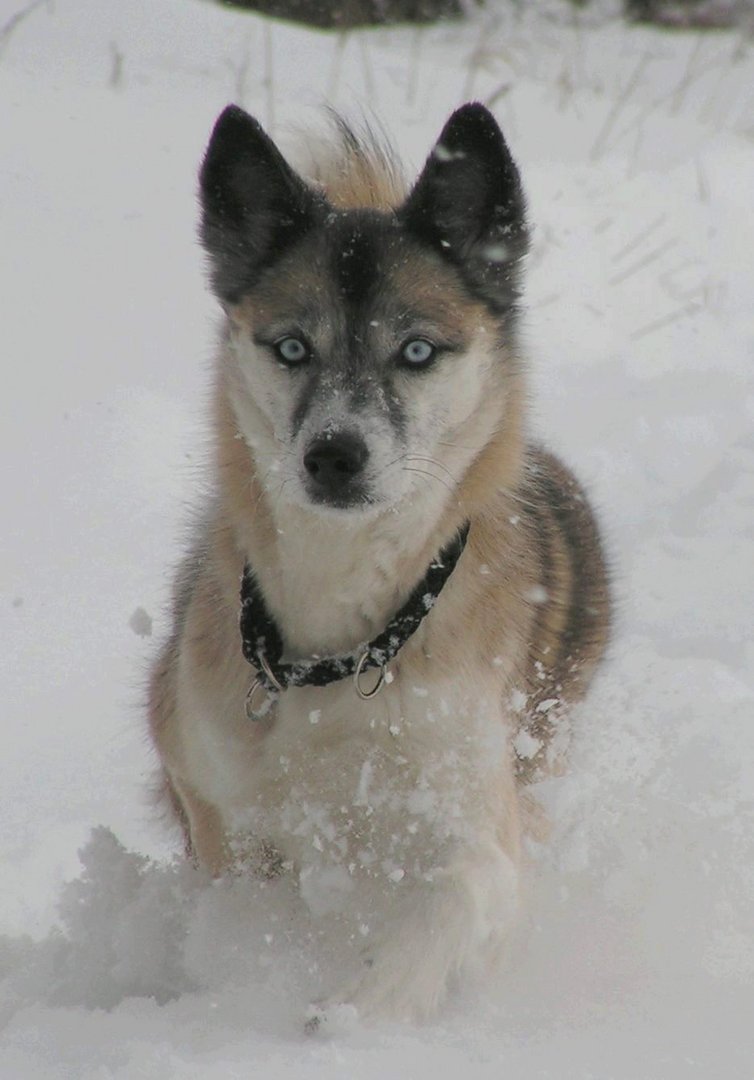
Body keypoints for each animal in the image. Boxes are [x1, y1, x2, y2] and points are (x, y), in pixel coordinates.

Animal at [147, 105, 609, 1023]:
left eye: (418, 352)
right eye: (292, 348)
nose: (334, 455)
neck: (339, 644)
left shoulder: (477, 804)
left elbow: (466, 886)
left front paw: (362, 1006)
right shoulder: (215, 791)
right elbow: (242, 905)